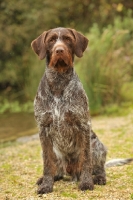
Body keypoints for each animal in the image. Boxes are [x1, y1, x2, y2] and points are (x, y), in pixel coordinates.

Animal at [30, 27, 132, 194]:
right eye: (51, 40)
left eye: (67, 39)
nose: (59, 50)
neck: (59, 82)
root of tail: (71, 173)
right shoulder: (43, 129)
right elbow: (47, 164)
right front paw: (46, 185)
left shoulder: (83, 125)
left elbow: (85, 161)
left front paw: (86, 183)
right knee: (57, 170)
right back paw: (50, 178)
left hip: (97, 145)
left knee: (98, 168)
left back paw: (98, 178)